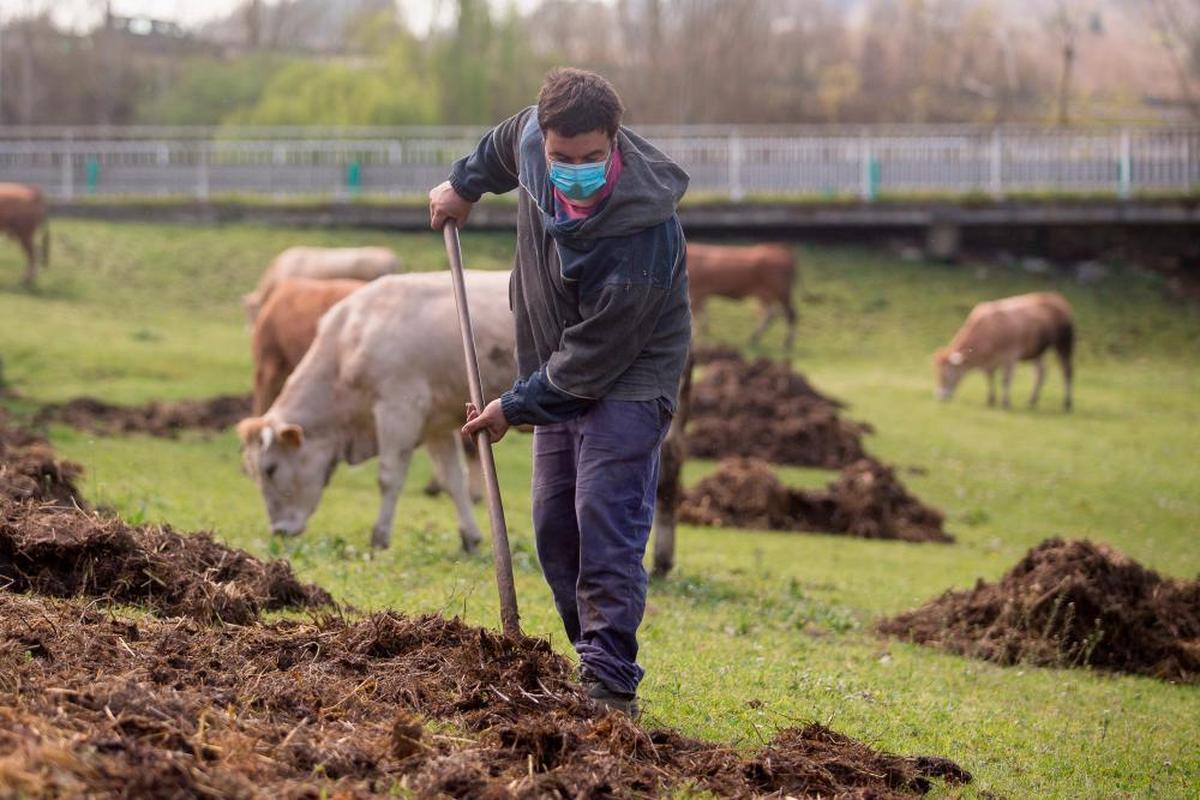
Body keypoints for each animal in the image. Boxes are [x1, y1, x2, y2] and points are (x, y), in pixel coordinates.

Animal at [236, 268, 513, 551]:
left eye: (270, 468)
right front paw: (470, 537)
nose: (279, 530)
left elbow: (388, 477)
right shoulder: (436, 423)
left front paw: (379, 537)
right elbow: (453, 479)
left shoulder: (399, 408)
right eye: (251, 472)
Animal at [931, 291, 1075, 410]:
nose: (940, 396)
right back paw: (1032, 400)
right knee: (1040, 373)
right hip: (1037, 352)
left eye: (946, 373)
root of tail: (1056, 299)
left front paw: (1006, 402)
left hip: (1064, 343)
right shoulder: (990, 362)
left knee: (1066, 371)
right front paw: (991, 399)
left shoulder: (1010, 356)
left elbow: (1005, 380)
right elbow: (989, 377)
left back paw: (1067, 403)